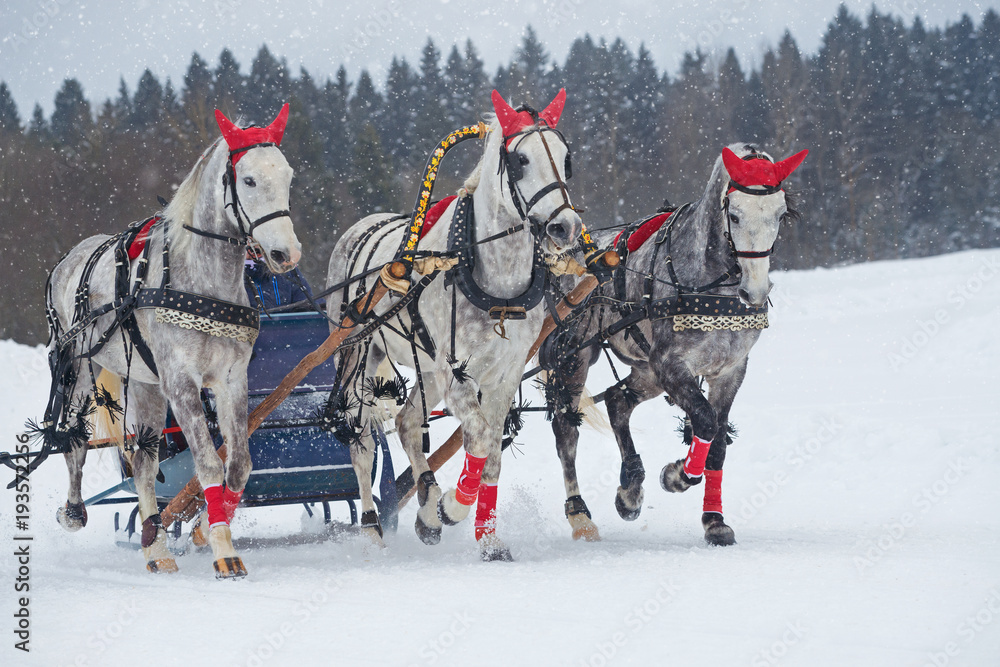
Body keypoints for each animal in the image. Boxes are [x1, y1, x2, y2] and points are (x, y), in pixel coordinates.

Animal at [42, 107, 300, 576]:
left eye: (287, 175)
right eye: (249, 180)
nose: (285, 255)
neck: (203, 282)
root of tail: (66, 261)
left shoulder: (231, 380)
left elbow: (238, 466)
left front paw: (206, 528)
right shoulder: (181, 383)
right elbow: (209, 463)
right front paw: (224, 550)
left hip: (145, 382)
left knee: (144, 461)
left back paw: (155, 546)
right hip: (80, 368)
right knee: (73, 440)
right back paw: (73, 511)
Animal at [324, 88, 584, 560]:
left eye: (565, 157)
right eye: (520, 159)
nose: (565, 226)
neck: (496, 282)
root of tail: (359, 227)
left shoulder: (504, 373)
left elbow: (492, 453)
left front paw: (487, 537)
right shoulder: (456, 372)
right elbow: (478, 438)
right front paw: (451, 507)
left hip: (425, 368)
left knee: (408, 423)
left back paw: (426, 503)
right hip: (359, 357)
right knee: (362, 442)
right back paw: (373, 528)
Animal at [544, 144, 808, 544]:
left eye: (780, 214)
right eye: (734, 214)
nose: (755, 292)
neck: (711, 287)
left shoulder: (730, 370)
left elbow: (718, 443)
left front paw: (714, 520)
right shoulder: (672, 364)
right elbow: (705, 422)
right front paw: (677, 475)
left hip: (647, 370)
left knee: (618, 401)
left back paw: (630, 490)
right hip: (574, 357)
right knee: (566, 430)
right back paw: (580, 514)